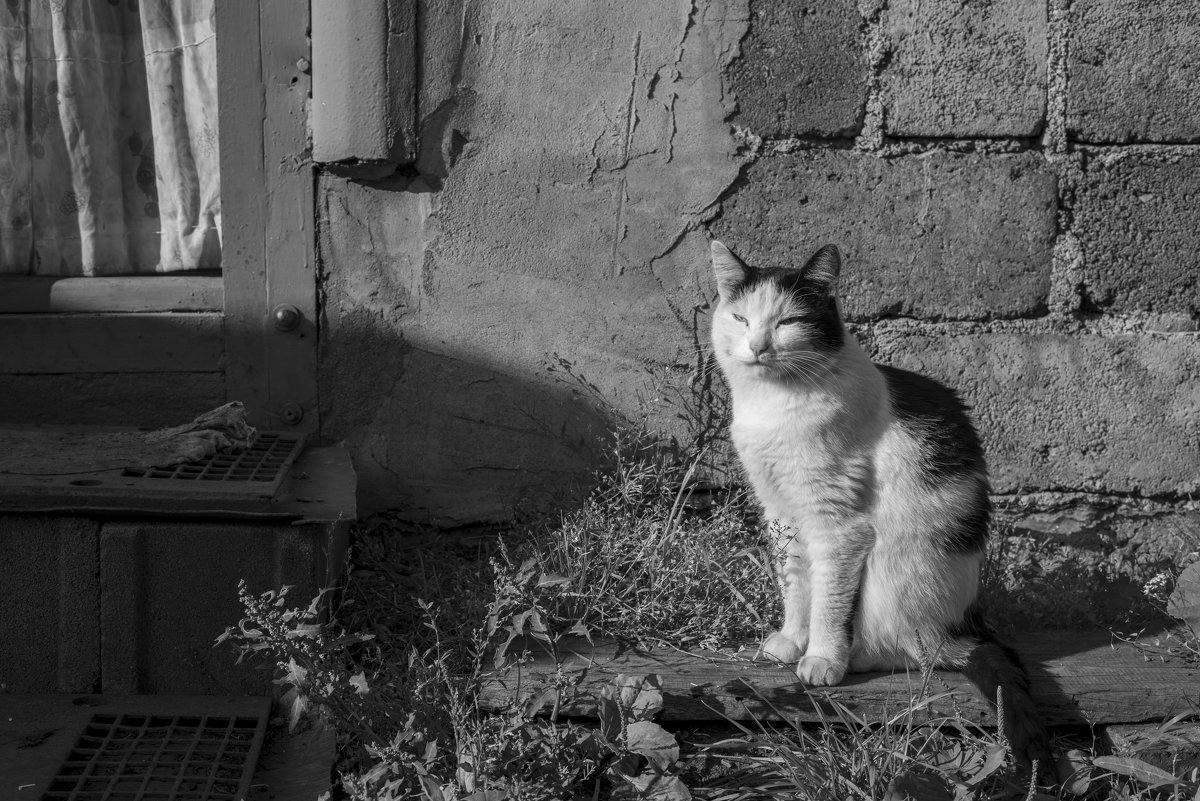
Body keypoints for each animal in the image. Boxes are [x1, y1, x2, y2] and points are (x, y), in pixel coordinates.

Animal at [710, 239, 1051, 777]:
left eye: (788, 322)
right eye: (741, 318)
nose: (758, 346)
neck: (774, 402)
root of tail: (964, 627)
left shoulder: (838, 525)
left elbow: (828, 602)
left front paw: (822, 659)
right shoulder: (782, 514)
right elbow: (796, 585)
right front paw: (791, 638)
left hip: (896, 567)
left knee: (919, 655)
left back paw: (856, 656)